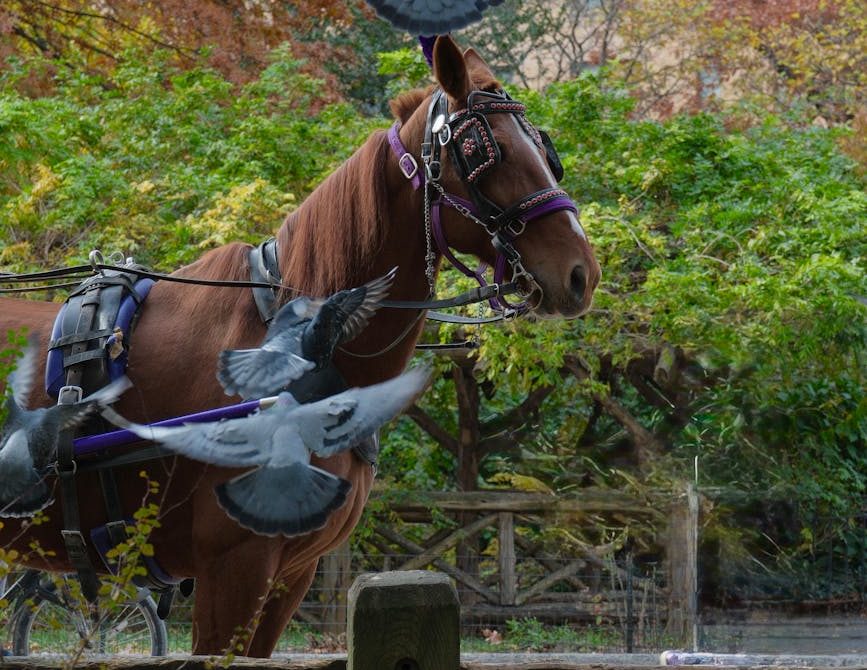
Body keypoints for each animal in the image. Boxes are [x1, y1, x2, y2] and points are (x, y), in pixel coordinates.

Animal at [0, 36, 600, 657]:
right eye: (486, 152)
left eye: (544, 149)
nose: (582, 272)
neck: (296, 350)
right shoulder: (234, 568)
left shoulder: (290, 574)